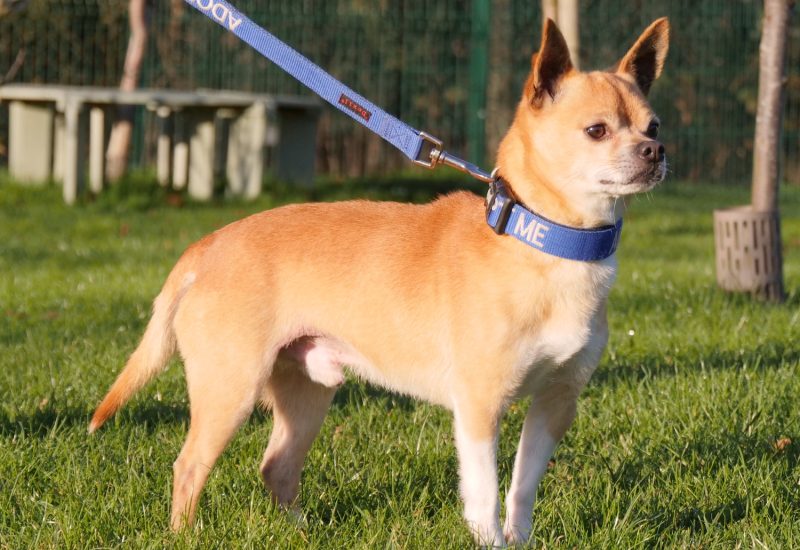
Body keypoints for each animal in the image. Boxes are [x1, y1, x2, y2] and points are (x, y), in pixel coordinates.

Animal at [89, 17, 669, 546]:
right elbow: (484, 496)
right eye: (596, 130)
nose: (655, 152)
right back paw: (186, 534)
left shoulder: (555, 402)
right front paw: (491, 539)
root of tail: (208, 246)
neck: (539, 240)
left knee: (277, 468)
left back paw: (304, 534)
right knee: (189, 467)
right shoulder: (480, 406)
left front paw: (519, 539)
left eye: (654, 126)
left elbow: (521, 491)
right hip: (230, 389)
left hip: (307, 392)